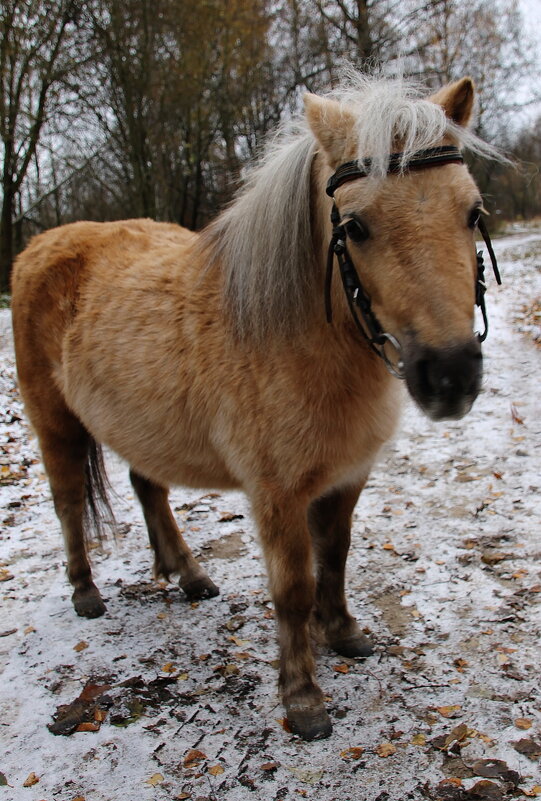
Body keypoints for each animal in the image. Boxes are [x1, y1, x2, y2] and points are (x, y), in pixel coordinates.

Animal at [11, 72, 502, 740]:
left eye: (472, 213)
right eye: (355, 227)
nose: (450, 377)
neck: (294, 337)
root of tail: (40, 243)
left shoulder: (345, 479)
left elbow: (335, 558)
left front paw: (343, 633)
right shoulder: (277, 494)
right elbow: (293, 588)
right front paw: (303, 698)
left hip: (143, 425)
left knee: (148, 488)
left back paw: (189, 577)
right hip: (55, 423)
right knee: (67, 502)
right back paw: (86, 593)